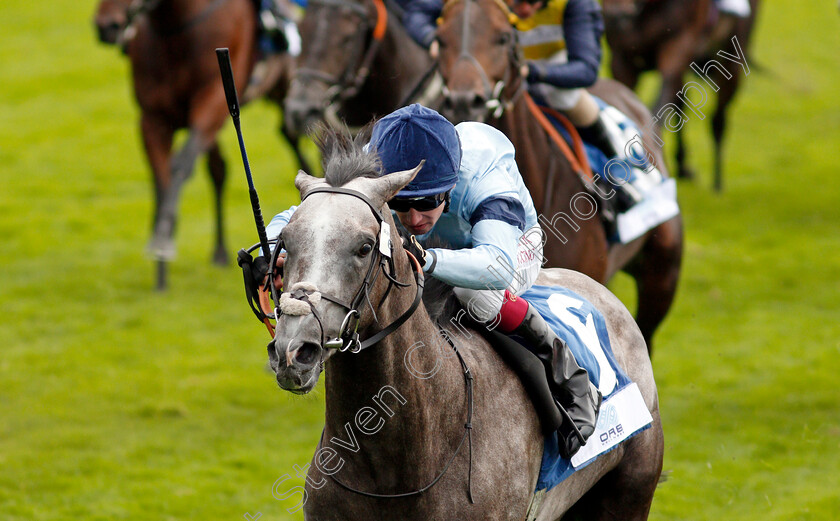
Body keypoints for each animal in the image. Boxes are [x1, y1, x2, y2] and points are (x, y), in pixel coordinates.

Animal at [91, 0, 306, 288]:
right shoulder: (153, 120)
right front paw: (160, 257)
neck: (175, 30)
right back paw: (220, 250)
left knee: (293, 131)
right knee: (224, 167)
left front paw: (163, 243)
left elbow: (179, 166)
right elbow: (163, 177)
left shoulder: (212, 105)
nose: (107, 26)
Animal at [604, 0, 760, 191]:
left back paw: (717, 184)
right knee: (681, 105)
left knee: (718, 120)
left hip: (732, 61)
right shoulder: (621, 60)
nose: (615, 15)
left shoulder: (678, 45)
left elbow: (656, 112)